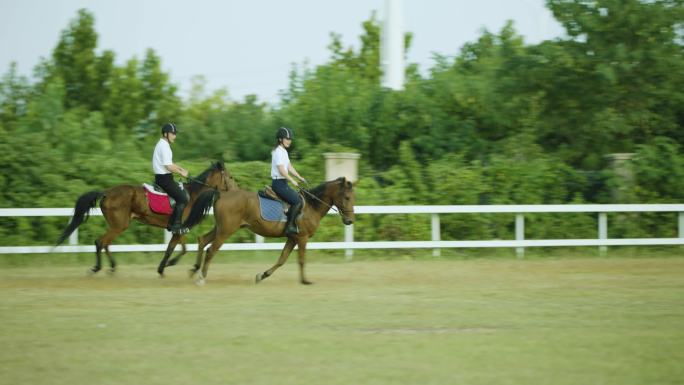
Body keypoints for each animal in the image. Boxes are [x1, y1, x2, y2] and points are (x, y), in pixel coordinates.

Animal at [53, 160, 236, 274]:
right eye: (230, 177)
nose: (237, 190)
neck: (192, 195)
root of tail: (106, 193)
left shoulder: (179, 229)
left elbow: (180, 248)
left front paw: (167, 265)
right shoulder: (179, 229)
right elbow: (173, 249)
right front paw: (164, 267)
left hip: (116, 225)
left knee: (105, 243)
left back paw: (112, 267)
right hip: (119, 225)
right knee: (100, 242)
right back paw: (97, 268)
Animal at [179, 176, 356, 282]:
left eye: (353, 198)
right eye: (347, 198)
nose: (350, 220)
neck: (311, 206)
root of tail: (221, 193)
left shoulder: (292, 238)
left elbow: (282, 259)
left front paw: (262, 275)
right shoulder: (302, 238)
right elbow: (301, 260)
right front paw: (305, 281)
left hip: (220, 228)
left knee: (202, 240)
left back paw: (194, 270)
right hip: (226, 231)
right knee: (211, 250)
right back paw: (201, 277)